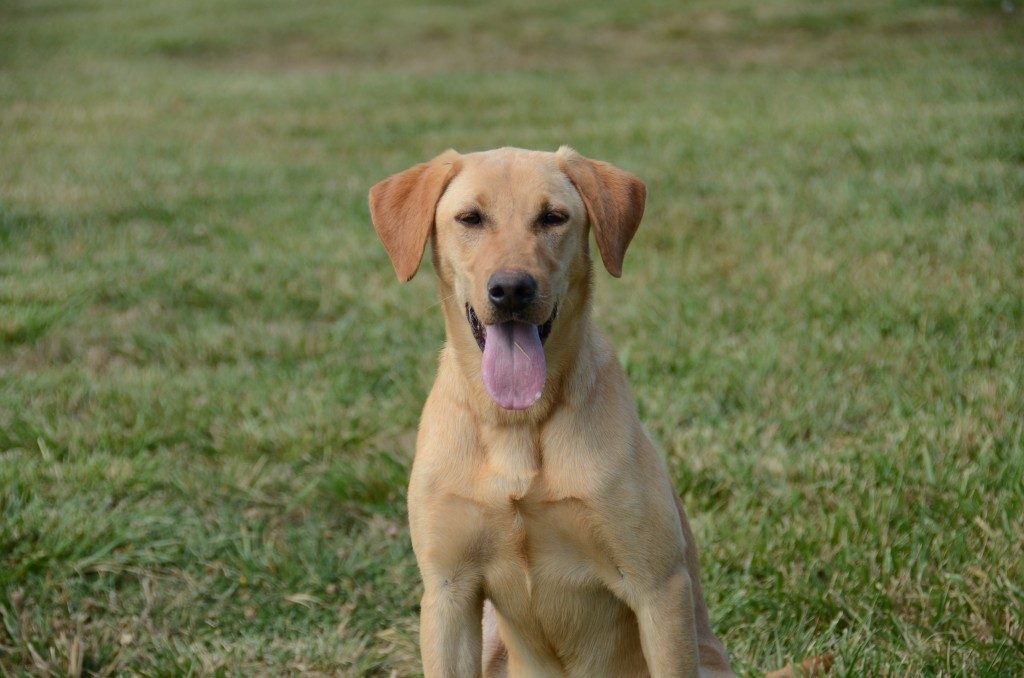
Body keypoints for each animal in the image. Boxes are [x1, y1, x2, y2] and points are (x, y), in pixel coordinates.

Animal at [368, 148, 737, 678]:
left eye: (553, 218)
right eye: (470, 218)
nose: (512, 289)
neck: (518, 424)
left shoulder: (658, 587)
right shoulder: (448, 594)